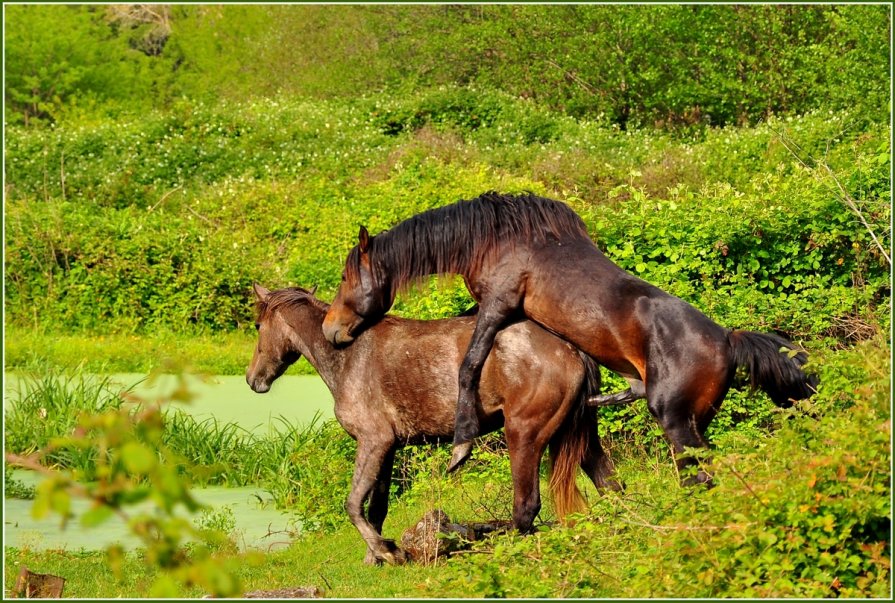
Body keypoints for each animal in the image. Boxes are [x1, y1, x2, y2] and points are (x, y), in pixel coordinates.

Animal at [248, 284, 620, 568]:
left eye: (257, 326)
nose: (253, 380)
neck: (347, 356)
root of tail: (570, 347)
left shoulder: (373, 441)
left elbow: (353, 504)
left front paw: (389, 552)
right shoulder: (388, 449)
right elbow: (376, 507)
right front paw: (375, 558)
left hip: (524, 436)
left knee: (527, 506)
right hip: (583, 439)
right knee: (611, 487)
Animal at [326, 193, 824, 486]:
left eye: (347, 277)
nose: (331, 330)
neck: (495, 239)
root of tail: (725, 338)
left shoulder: (499, 304)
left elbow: (469, 364)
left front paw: (461, 444)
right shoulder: (494, 309)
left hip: (677, 421)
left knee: (696, 472)